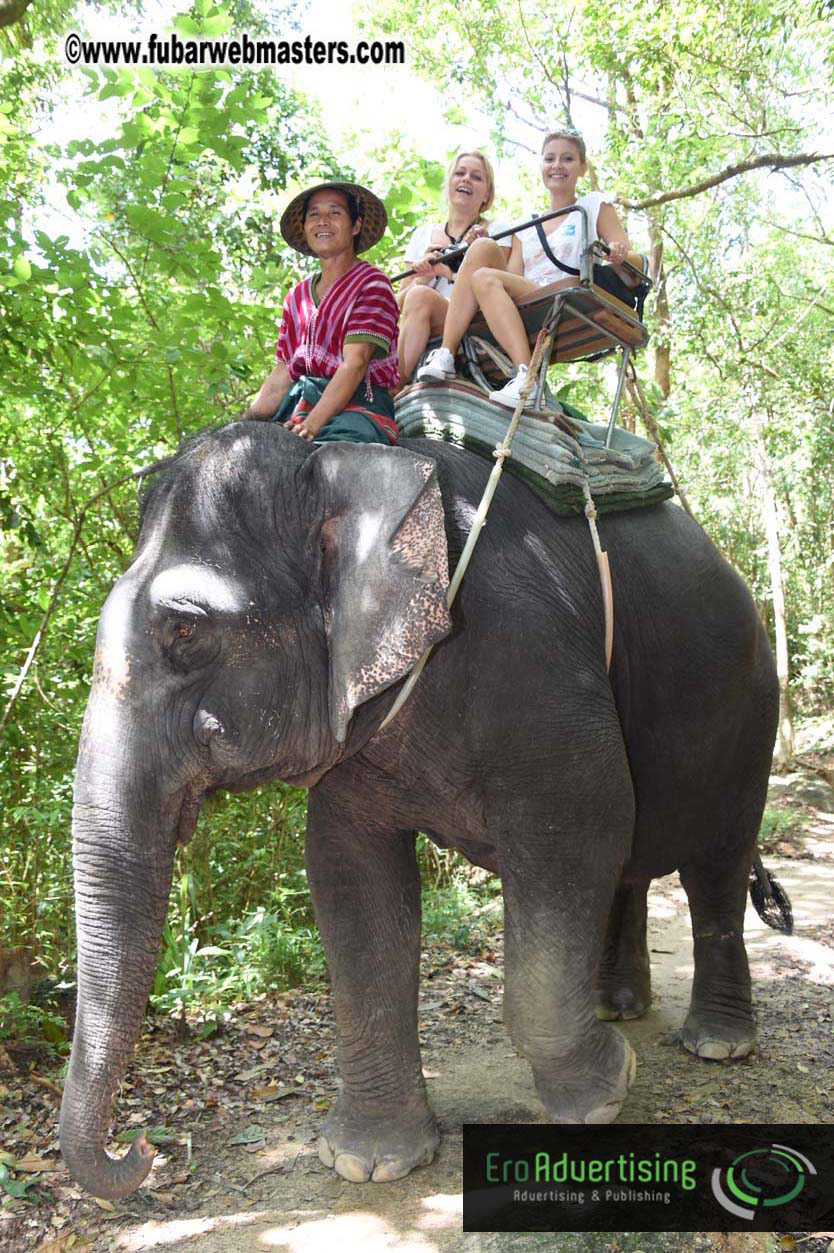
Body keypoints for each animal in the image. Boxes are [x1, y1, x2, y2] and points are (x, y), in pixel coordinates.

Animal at [59, 420, 778, 1199]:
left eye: (185, 632)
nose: (140, 1149)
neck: (362, 469)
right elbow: (350, 878)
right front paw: (369, 1160)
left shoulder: (536, 659)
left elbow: (584, 823)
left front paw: (607, 1087)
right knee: (634, 865)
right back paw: (618, 1006)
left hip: (753, 713)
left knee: (716, 866)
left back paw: (718, 1043)